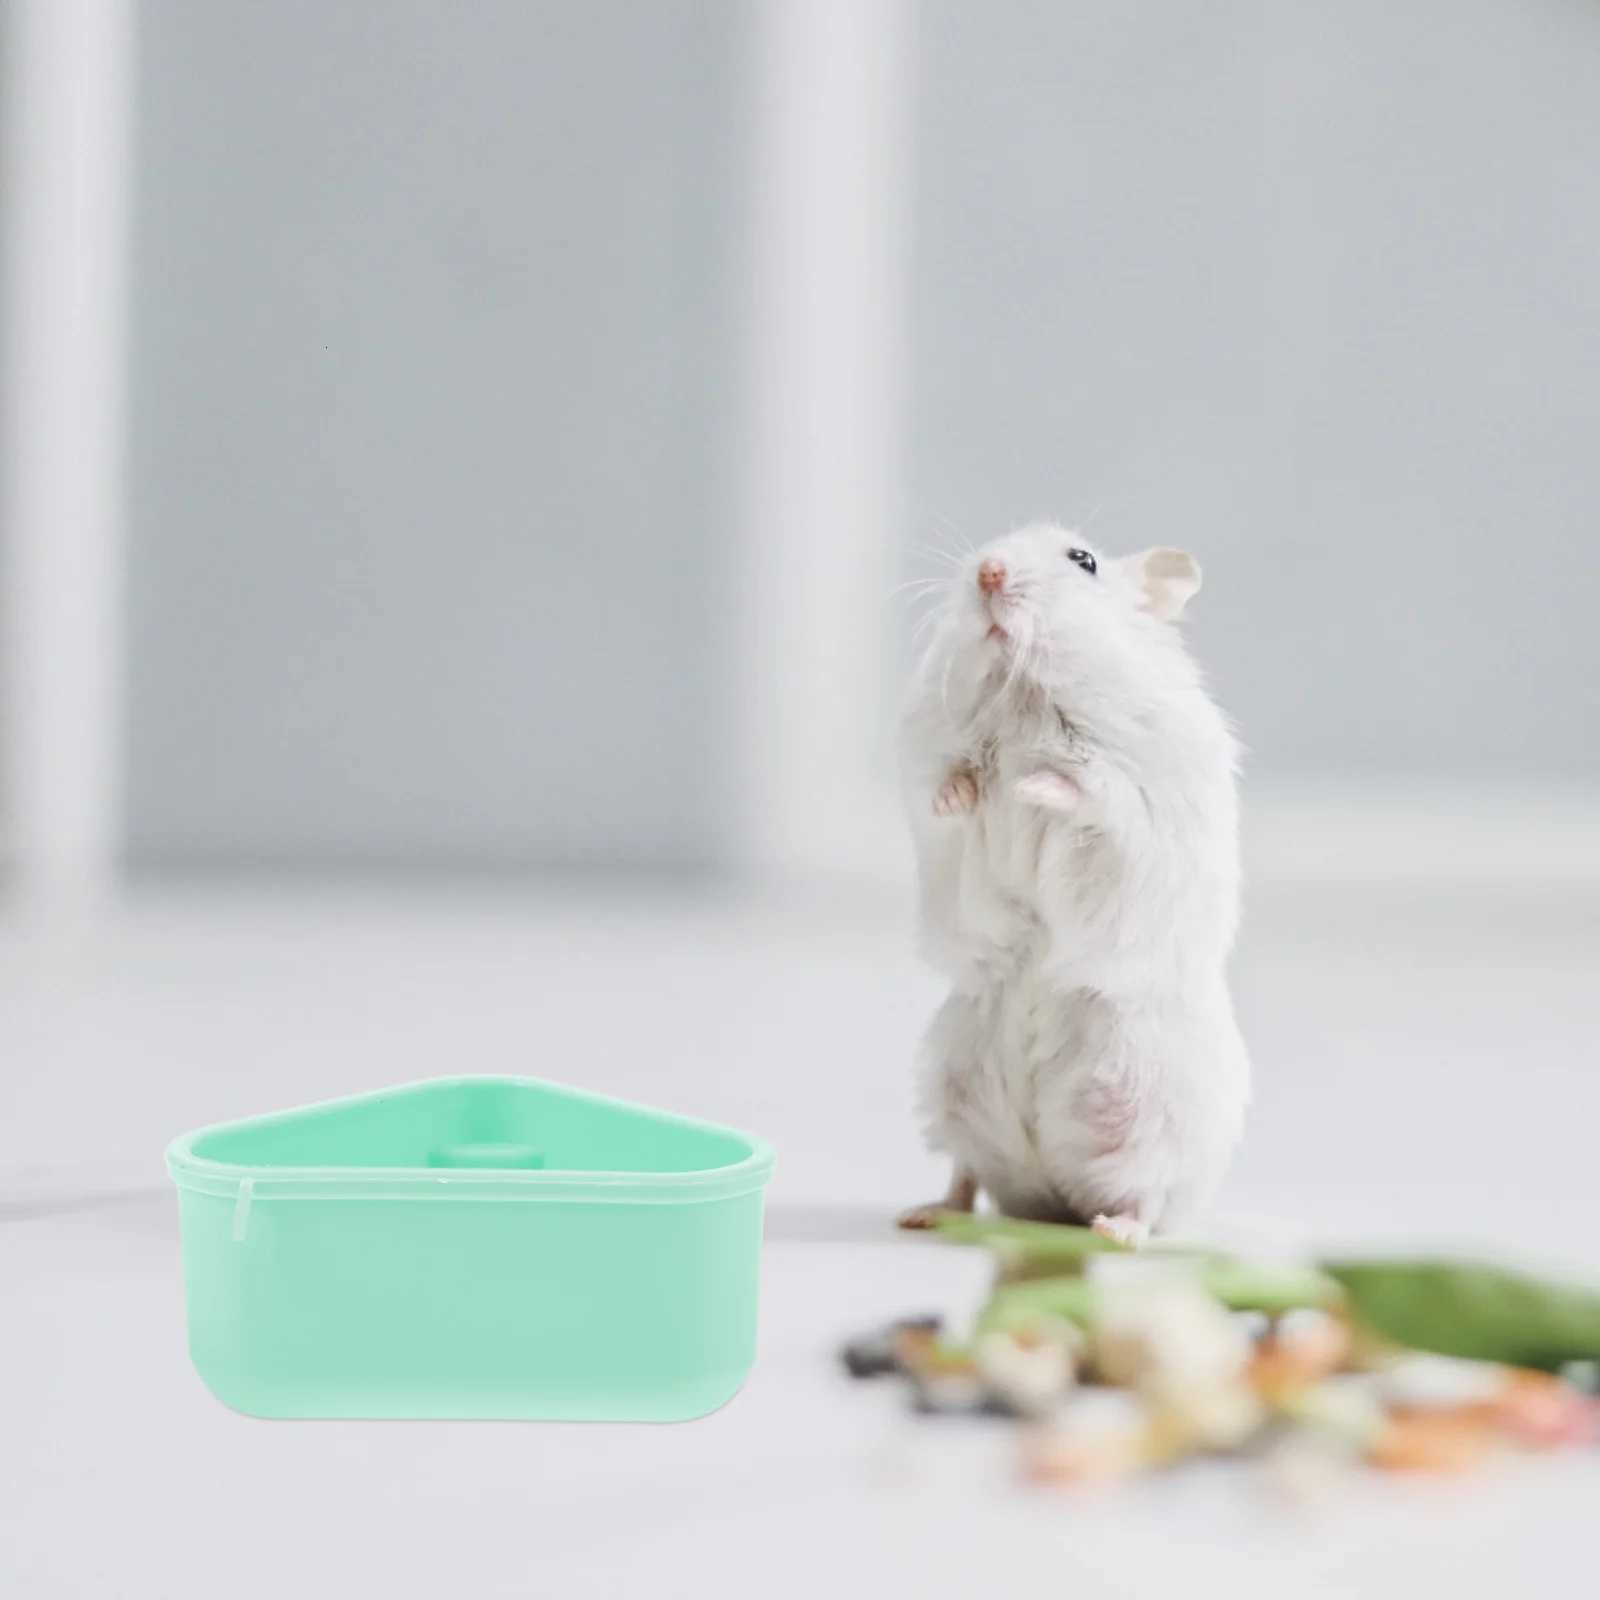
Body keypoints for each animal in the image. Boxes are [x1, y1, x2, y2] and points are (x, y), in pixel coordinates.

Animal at [897, 524, 1248, 1244]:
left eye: (1082, 561)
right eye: (995, 544)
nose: (989, 571)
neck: (1023, 688)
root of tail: (1054, 1194)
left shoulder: (1136, 793)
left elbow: (1090, 789)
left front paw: (1031, 783)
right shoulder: (929, 755)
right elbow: (947, 784)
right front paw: (967, 793)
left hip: (1156, 1109)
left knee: (1147, 1192)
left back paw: (1118, 1232)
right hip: (952, 1079)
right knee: (966, 1173)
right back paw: (924, 1214)